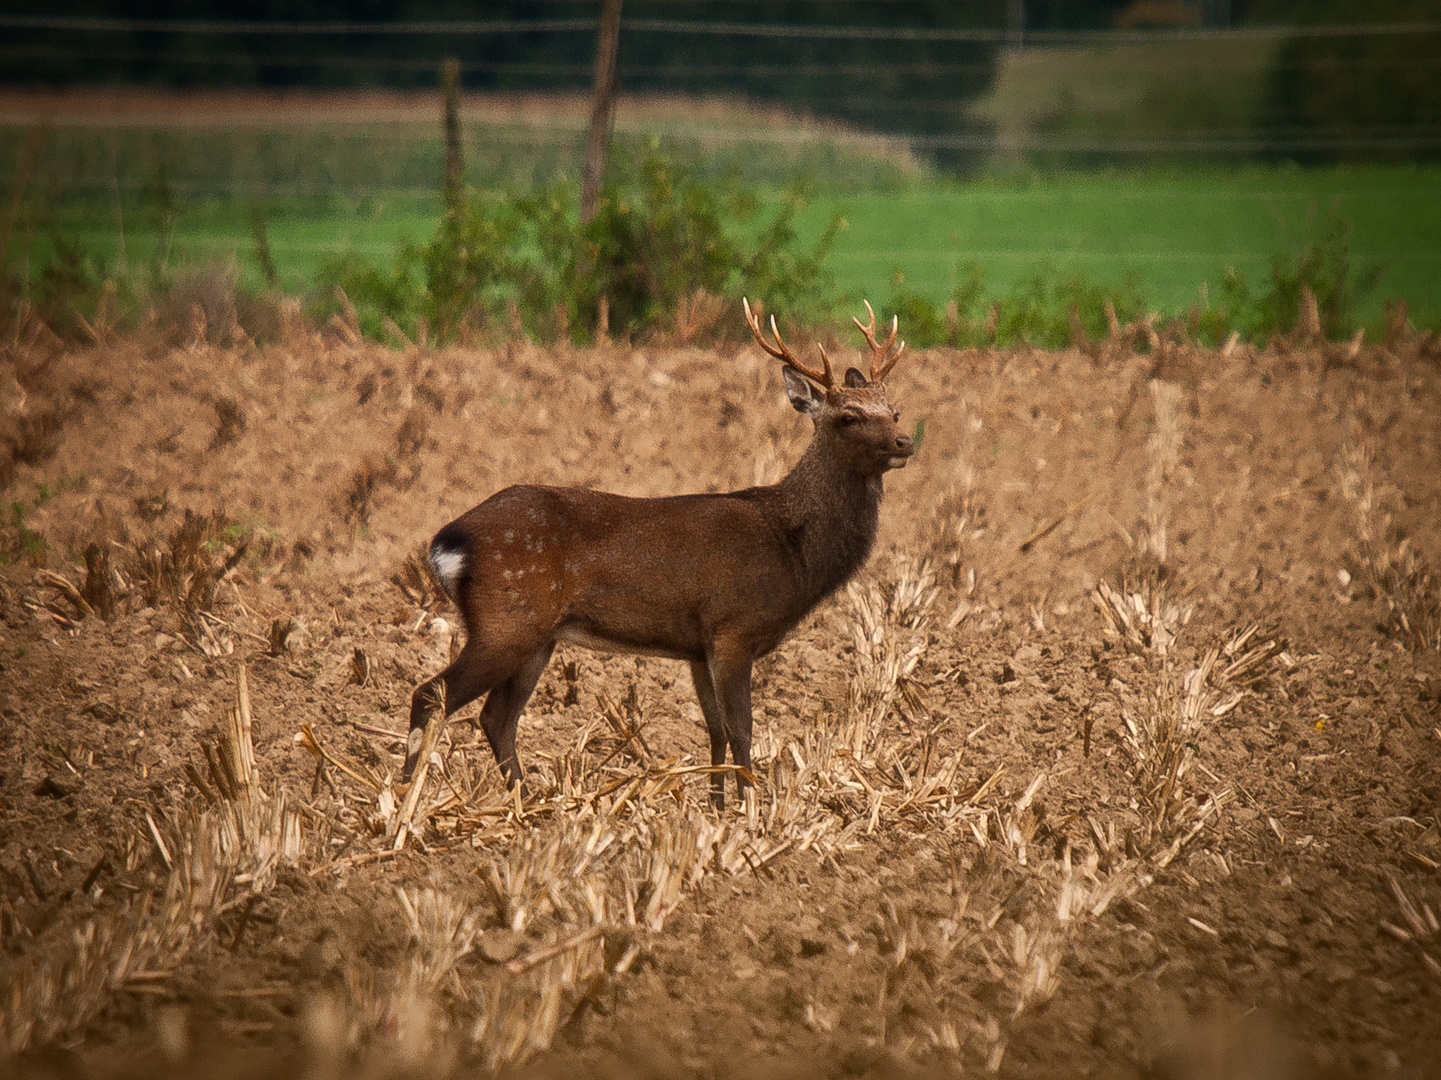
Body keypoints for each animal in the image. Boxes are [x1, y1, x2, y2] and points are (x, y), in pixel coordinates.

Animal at [403, 298, 910, 807]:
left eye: (893, 411)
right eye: (848, 416)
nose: (905, 441)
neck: (792, 549)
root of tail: (446, 542)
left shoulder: (698, 645)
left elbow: (716, 730)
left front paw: (716, 807)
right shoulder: (733, 626)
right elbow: (742, 729)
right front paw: (749, 808)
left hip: (537, 636)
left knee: (496, 717)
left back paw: (527, 802)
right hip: (506, 617)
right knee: (431, 694)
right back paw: (406, 795)